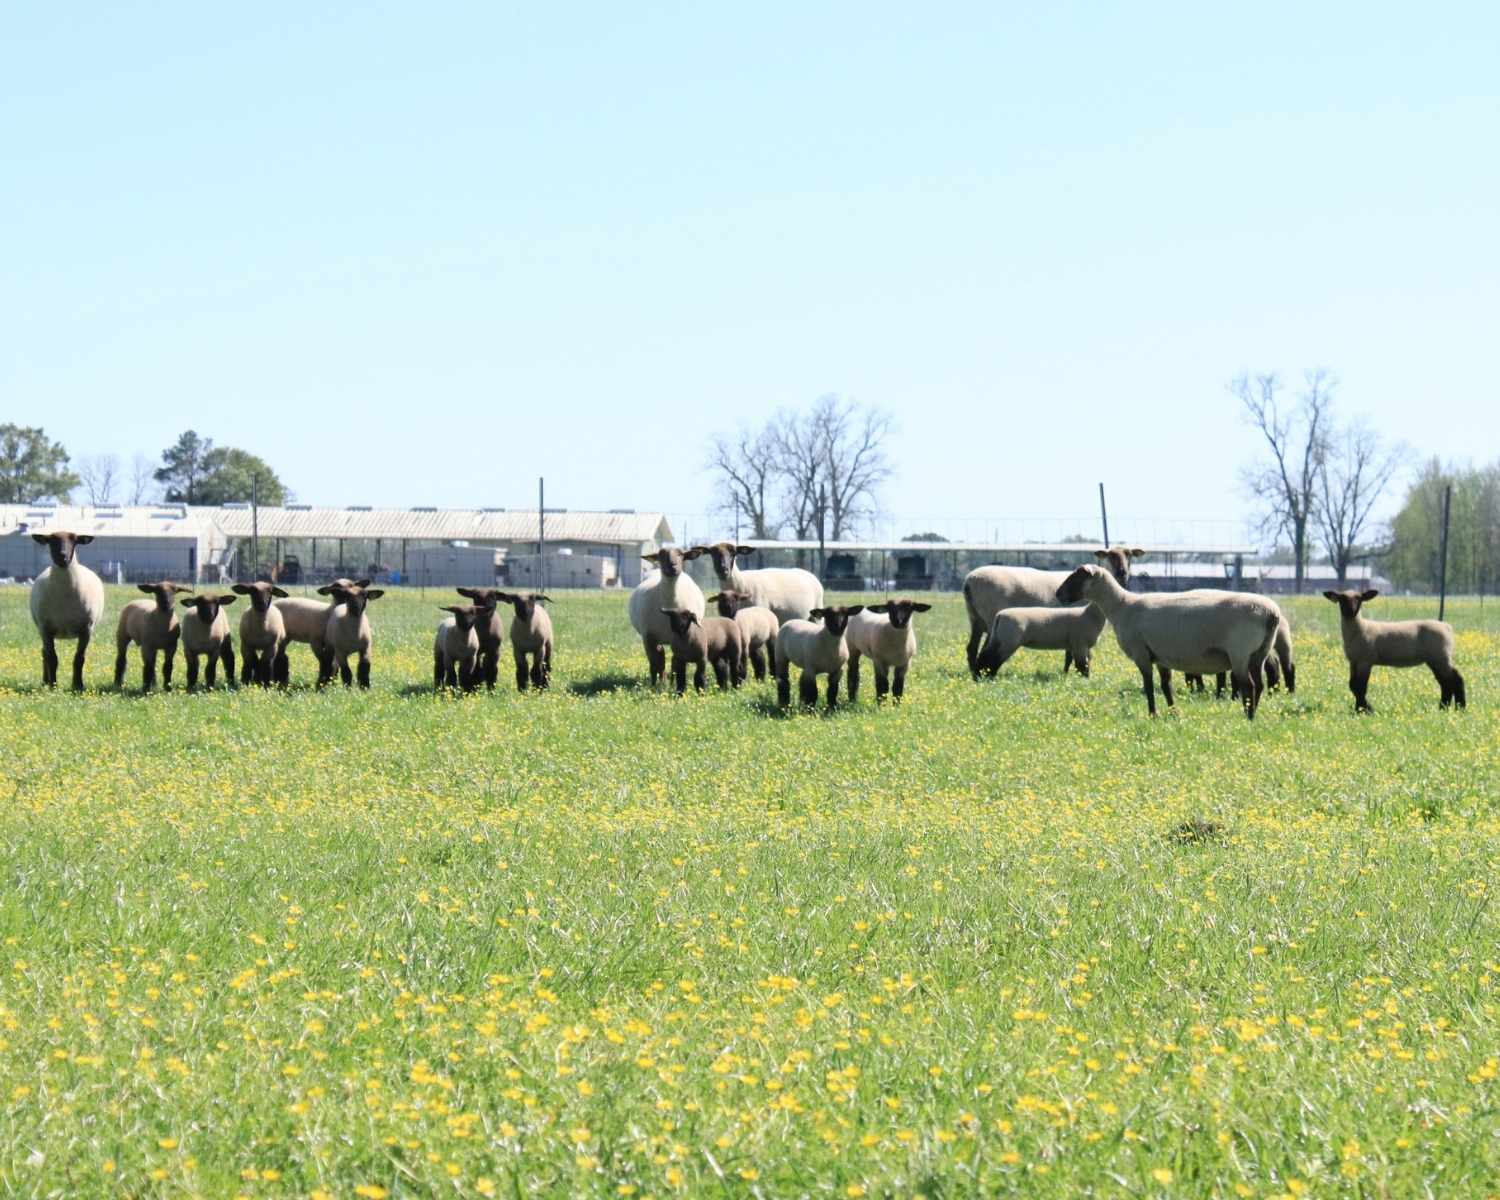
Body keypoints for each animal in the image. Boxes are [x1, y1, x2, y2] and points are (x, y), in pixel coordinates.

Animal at [27, 531, 105, 690]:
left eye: (74, 541)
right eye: (51, 541)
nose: (62, 556)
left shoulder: (86, 629)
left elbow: (79, 658)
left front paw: (78, 686)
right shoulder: (46, 628)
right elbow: (52, 658)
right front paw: (53, 686)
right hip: (41, 628)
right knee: (44, 653)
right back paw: (45, 682)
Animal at [627, 549, 708, 690]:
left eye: (681, 554)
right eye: (661, 555)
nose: (672, 566)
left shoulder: (680, 638)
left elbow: (675, 663)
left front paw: (671, 683)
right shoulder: (648, 637)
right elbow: (655, 662)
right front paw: (656, 685)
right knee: (660, 657)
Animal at [687, 540, 822, 624]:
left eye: (734, 553)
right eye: (712, 554)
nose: (723, 570)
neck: (741, 584)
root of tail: (809, 573)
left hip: (817, 614)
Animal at [978, 606, 1110, 681]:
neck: (1090, 615)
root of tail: (999, 615)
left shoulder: (1073, 645)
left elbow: (1070, 661)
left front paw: (1066, 675)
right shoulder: (1080, 643)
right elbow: (1082, 664)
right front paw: (1085, 679)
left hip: (998, 638)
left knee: (985, 655)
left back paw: (979, 675)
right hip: (1008, 641)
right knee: (994, 658)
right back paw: (988, 677)